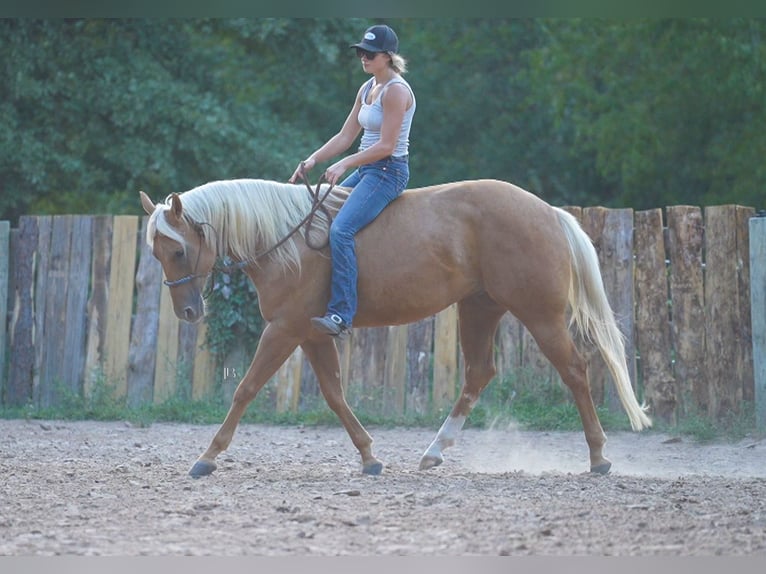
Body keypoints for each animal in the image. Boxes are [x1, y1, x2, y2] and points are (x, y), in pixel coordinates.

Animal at [139, 177, 651, 478]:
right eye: (156, 253)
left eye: (179, 250)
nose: (188, 312)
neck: (287, 239)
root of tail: (547, 212)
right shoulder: (312, 333)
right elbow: (335, 394)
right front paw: (369, 457)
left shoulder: (283, 330)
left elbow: (245, 389)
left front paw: (207, 457)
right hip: (479, 309)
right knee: (479, 374)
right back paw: (434, 451)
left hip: (539, 316)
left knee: (575, 371)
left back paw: (599, 457)